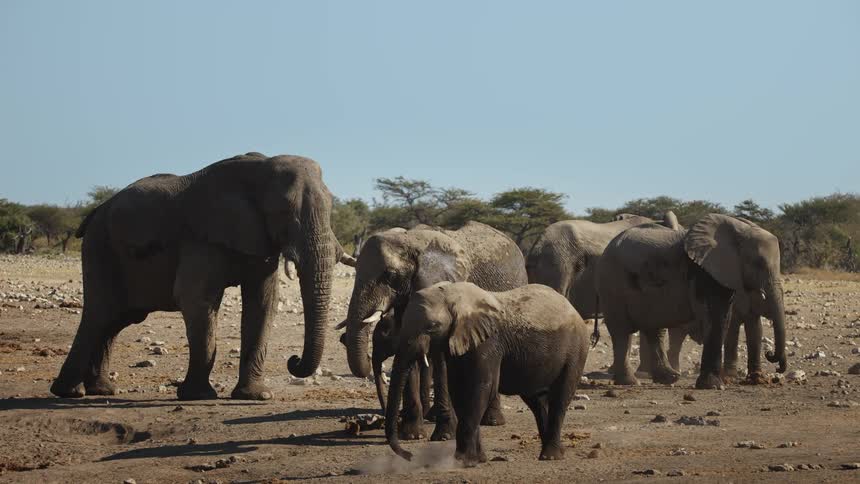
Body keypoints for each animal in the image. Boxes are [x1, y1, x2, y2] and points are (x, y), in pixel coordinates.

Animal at [50, 152, 356, 400]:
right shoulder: (202, 236)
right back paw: (69, 392)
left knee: (116, 319)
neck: (260, 169)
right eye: (282, 210)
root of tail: (95, 211)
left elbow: (263, 302)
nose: (293, 360)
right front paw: (199, 396)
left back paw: (102, 390)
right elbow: (198, 299)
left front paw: (256, 396)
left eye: (331, 206)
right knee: (100, 314)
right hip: (100, 246)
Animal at [339, 221, 528, 441]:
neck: (410, 239)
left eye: (390, 275)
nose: (385, 419)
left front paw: (445, 434)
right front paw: (411, 434)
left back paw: (492, 421)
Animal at [385, 282, 590, 465]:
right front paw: (478, 459)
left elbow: (482, 389)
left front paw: (462, 461)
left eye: (432, 326)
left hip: (576, 350)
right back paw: (554, 453)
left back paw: (550, 457)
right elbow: (459, 390)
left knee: (560, 398)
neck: (454, 295)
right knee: (537, 402)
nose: (409, 456)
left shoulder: (489, 344)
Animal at [596, 214, 787, 390]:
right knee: (622, 331)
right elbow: (714, 319)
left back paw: (669, 378)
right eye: (758, 263)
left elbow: (724, 319)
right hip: (611, 284)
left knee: (653, 329)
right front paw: (713, 386)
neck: (737, 230)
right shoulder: (703, 273)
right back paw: (630, 382)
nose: (771, 355)